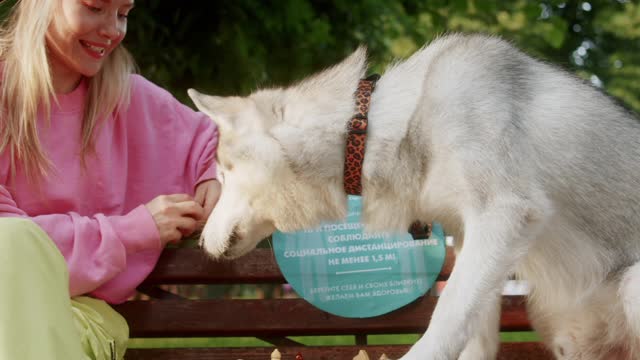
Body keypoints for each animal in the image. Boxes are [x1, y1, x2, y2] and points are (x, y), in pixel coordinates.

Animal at [188, 33, 640, 358]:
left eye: (224, 174)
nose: (201, 241)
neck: (374, 130)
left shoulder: (502, 216)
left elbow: (447, 316)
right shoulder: (471, 238)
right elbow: (472, 329)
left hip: (631, 286)